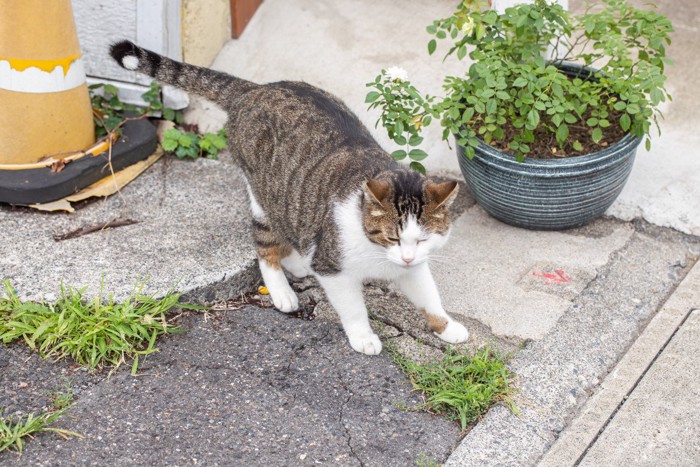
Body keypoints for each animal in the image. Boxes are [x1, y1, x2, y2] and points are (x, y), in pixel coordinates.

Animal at [110, 41, 470, 354]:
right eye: (391, 237)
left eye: (422, 240)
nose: (406, 257)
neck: (378, 253)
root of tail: (255, 89)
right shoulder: (333, 268)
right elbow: (353, 307)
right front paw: (363, 337)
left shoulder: (414, 268)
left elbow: (429, 297)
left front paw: (447, 327)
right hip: (265, 195)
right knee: (265, 246)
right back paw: (282, 289)